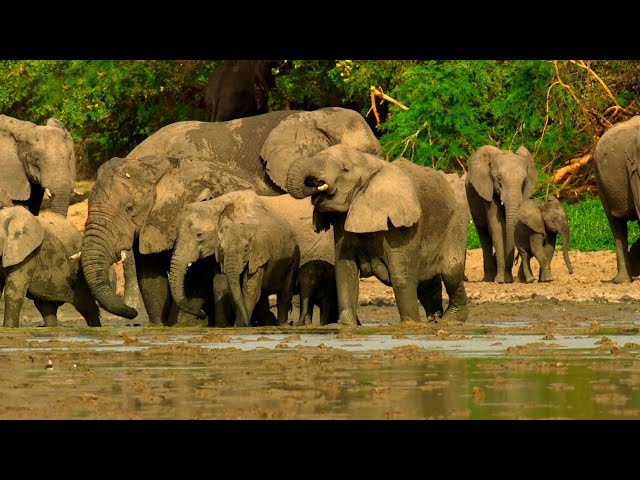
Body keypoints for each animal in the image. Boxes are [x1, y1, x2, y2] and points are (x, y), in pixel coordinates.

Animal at [168, 190, 335, 327]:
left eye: (199, 235)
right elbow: (219, 283)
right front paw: (222, 326)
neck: (218, 204)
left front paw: (239, 325)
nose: (201, 312)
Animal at [284, 144, 469, 327]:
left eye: (345, 169)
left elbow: (401, 276)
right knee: (428, 281)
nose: (315, 184)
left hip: (456, 221)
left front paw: (411, 325)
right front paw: (348, 326)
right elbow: (345, 271)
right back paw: (435, 319)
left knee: (451, 272)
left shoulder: (401, 224)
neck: (371, 165)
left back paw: (451, 320)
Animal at [465, 145, 538, 283]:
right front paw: (500, 280)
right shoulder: (488, 190)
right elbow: (498, 227)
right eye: (498, 178)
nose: (515, 260)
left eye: (523, 181)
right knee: (484, 236)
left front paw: (507, 280)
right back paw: (488, 279)